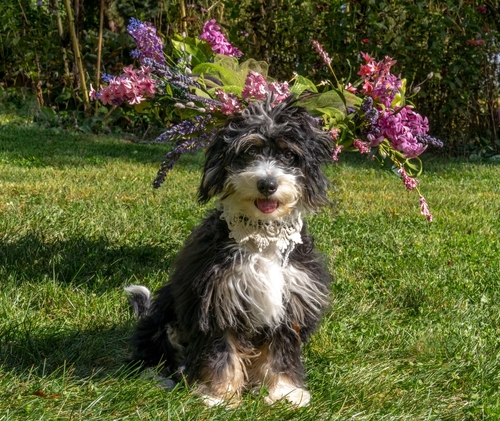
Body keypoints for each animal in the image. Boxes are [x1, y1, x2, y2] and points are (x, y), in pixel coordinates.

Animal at [127, 97, 334, 406]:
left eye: (288, 155)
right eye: (249, 151)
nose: (267, 184)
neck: (262, 238)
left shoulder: (290, 305)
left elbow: (280, 353)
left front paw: (285, 392)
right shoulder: (216, 300)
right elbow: (221, 352)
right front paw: (219, 396)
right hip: (164, 316)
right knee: (153, 350)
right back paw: (159, 377)